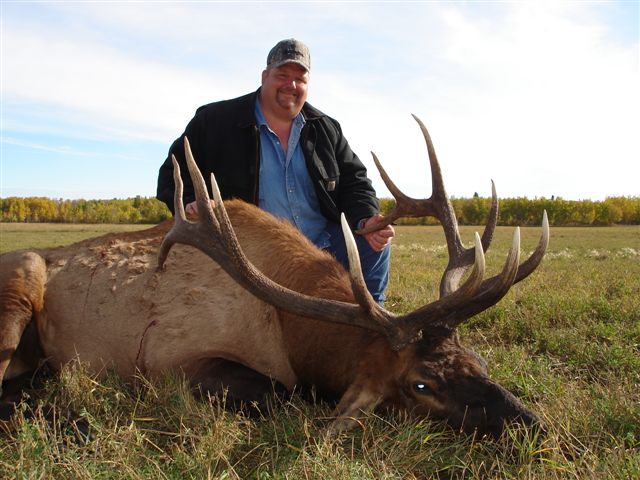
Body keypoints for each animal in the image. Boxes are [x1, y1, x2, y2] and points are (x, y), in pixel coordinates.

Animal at [0, 116, 548, 437]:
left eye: (478, 360)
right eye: (420, 385)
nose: (533, 425)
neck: (290, 333)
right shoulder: (170, 361)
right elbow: (284, 396)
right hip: (21, 276)